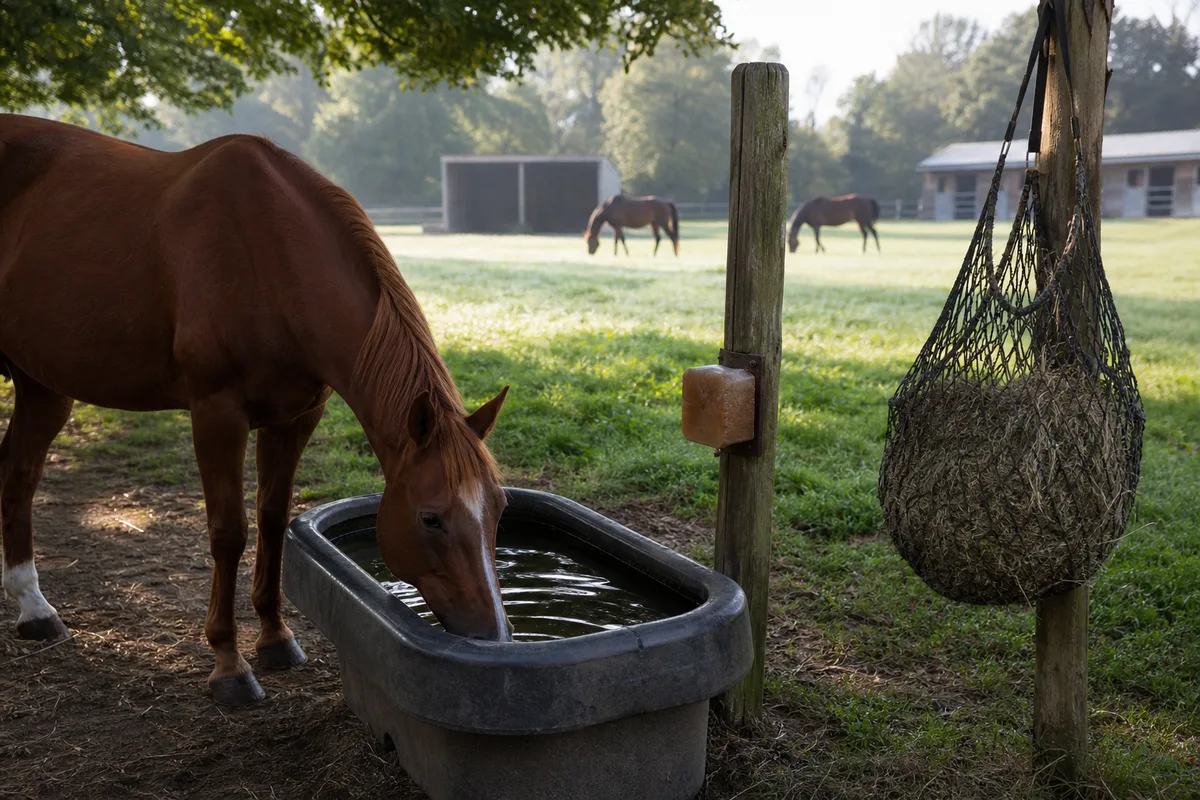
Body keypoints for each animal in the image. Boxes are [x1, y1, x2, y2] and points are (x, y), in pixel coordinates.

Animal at [0, 114, 514, 707]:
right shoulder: (216, 414)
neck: (265, 252)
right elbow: (229, 531)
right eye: (431, 517)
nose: (493, 636)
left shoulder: (295, 418)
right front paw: (228, 663)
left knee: (18, 474)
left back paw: (34, 609)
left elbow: (272, 519)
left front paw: (275, 637)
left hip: (43, 386)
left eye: (500, 509)